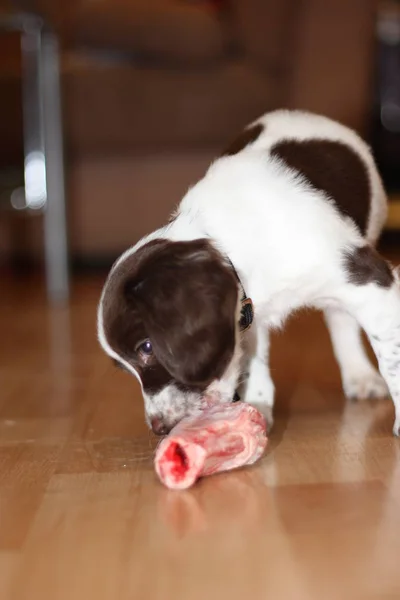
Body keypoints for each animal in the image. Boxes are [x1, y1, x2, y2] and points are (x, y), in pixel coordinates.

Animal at [97, 109, 400, 436]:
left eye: (147, 347)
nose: (159, 428)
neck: (225, 239)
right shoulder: (249, 310)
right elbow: (253, 358)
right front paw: (257, 407)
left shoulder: (369, 280)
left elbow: (392, 358)